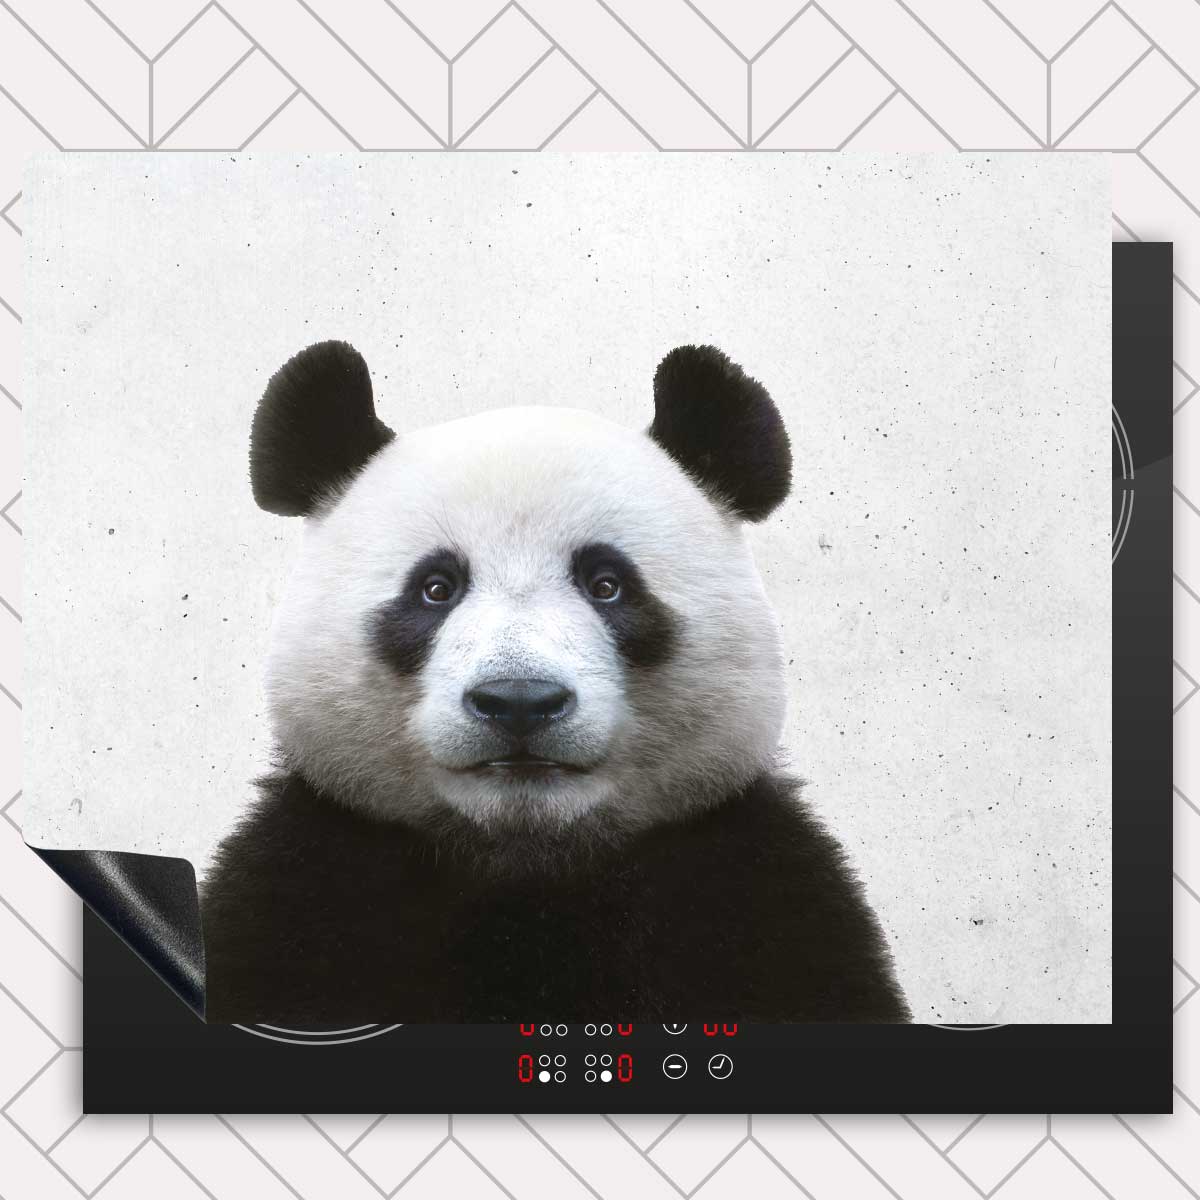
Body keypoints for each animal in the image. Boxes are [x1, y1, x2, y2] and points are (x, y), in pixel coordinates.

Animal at [199, 340, 910, 1024]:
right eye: (436, 588)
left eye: (607, 584)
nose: (519, 702)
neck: (530, 867)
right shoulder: (306, 888)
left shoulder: (756, 895)